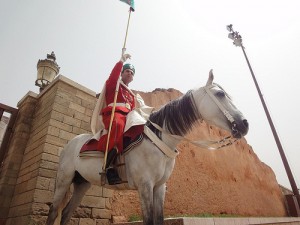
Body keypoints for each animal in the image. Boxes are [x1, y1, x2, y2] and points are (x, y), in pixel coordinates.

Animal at [46, 71, 248, 225]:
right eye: (220, 94)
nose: (244, 124)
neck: (160, 140)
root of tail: (69, 144)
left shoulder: (159, 187)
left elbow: (158, 220)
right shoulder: (145, 186)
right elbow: (149, 221)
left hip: (82, 184)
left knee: (66, 214)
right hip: (63, 180)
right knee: (54, 212)